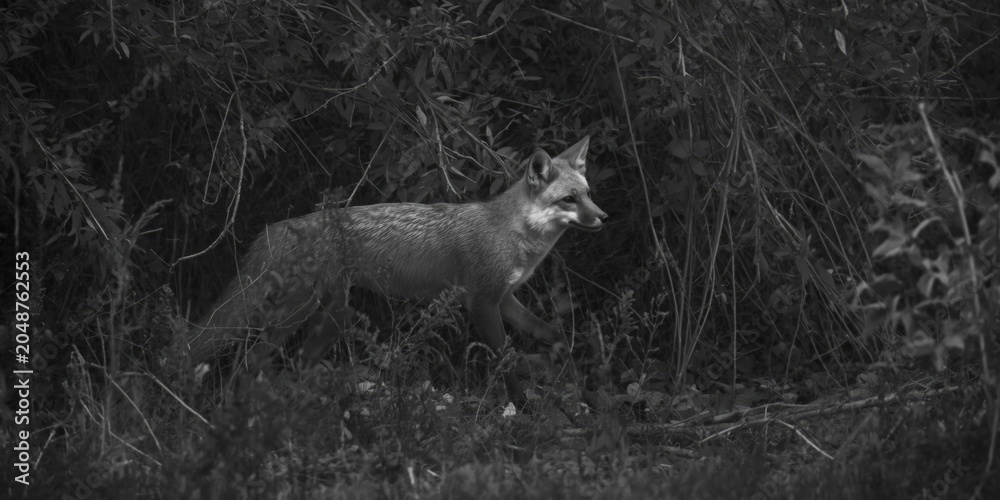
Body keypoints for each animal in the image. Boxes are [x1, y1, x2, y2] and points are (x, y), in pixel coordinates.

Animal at [185, 136, 607, 400]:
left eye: (588, 194)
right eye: (569, 200)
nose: (604, 217)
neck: (513, 234)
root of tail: (282, 226)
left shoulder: (505, 299)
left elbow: (552, 334)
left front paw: (578, 377)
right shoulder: (483, 303)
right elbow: (505, 361)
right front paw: (522, 406)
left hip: (329, 316)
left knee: (295, 364)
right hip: (308, 313)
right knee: (250, 361)